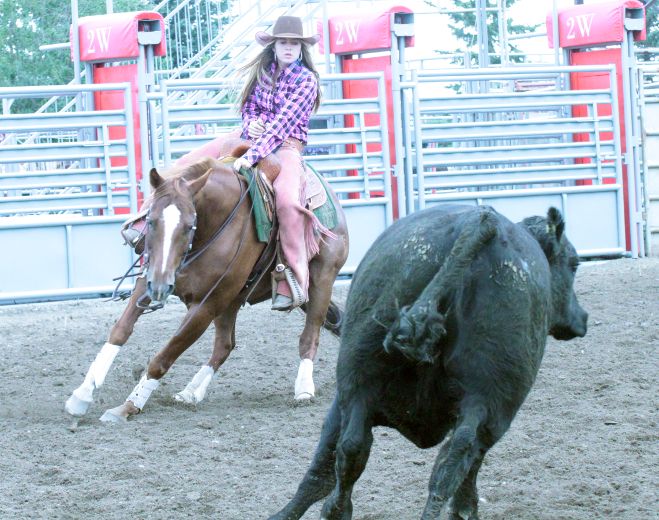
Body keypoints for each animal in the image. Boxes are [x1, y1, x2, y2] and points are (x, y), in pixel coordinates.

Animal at [65, 155, 350, 422]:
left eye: (188, 225)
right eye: (151, 220)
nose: (160, 286)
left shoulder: (206, 305)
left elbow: (165, 355)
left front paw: (128, 406)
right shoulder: (147, 283)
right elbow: (120, 331)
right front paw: (81, 395)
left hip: (320, 280)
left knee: (309, 335)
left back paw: (304, 389)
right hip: (232, 300)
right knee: (224, 345)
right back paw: (191, 392)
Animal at [270, 204, 592, 520]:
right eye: (574, 263)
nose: (582, 317)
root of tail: (481, 221)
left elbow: (323, 465)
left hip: (365, 384)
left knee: (360, 449)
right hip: (487, 407)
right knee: (450, 461)